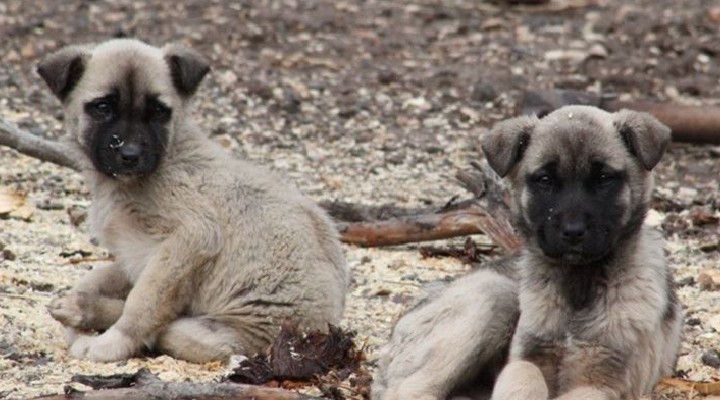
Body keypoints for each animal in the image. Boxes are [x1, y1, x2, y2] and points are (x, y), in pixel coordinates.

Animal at [39, 39, 348, 364]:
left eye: (159, 112)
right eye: (103, 107)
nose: (130, 155)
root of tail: (321, 330)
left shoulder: (194, 235)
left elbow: (144, 301)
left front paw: (112, 343)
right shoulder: (138, 255)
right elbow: (102, 277)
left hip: (215, 333)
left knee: (171, 327)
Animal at [374, 106, 684, 400]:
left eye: (604, 178)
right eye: (544, 179)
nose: (573, 232)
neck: (577, 286)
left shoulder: (601, 379)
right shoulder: (527, 359)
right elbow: (525, 381)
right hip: (493, 294)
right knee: (406, 389)